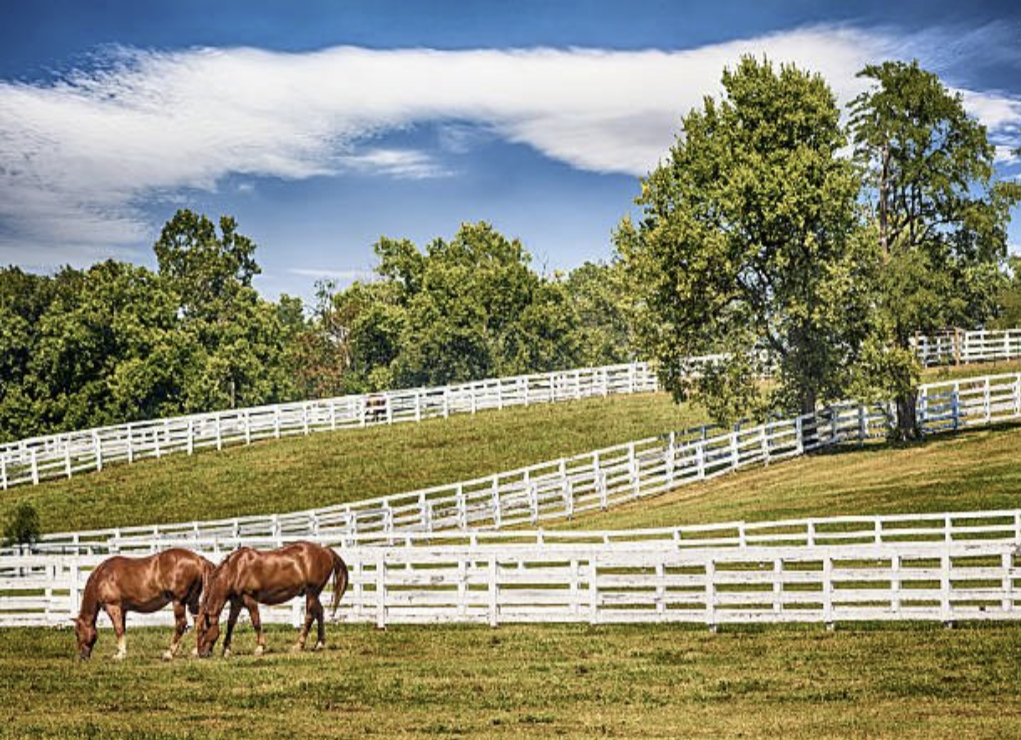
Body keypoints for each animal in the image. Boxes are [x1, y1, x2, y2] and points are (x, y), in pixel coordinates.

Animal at [73, 548, 214, 661]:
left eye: (77, 633)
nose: (82, 657)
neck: (102, 577)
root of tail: (198, 559)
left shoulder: (113, 607)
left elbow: (118, 629)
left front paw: (119, 655)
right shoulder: (123, 610)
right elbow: (122, 629)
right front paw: (122, 652)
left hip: (178, 601)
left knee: (181, 624)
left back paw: (169, 653)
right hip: (192, 601)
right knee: (199, 621)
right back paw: (196, 651)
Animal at [195, 541, 349, 658]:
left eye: (203, 630)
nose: (201, 653)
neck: (235, 569)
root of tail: (326, 550)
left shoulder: (249, 599)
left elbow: (256, 621)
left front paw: (260, 647)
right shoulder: (236, 602)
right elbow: (230, 624)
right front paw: (227, 649)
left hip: (312, 592)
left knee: (310, 616)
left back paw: (299, 645)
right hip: (313, 594)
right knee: (320, 612)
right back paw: (319, 644)